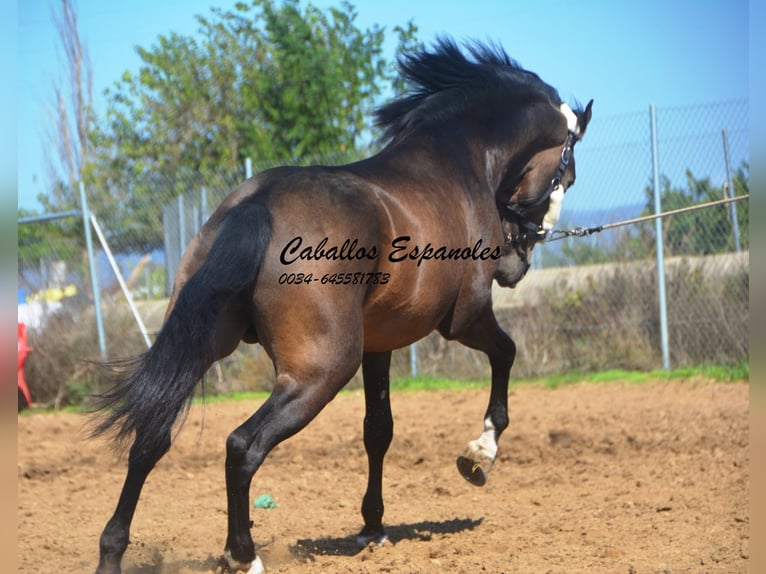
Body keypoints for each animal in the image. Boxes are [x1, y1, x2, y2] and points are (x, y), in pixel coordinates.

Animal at [90, 38, 592, 572]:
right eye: (567, 176)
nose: (515, 266)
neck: (460, 158)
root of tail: (258, 204)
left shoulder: (380, 344)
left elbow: (379, 429)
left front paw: (373, 527)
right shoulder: (464, 319)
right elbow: (506, 353)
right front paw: (479, 456)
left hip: (207, 343)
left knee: (152, 436)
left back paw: (113, 551)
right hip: (322, 371)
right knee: (242, 446)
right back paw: (242, 556)